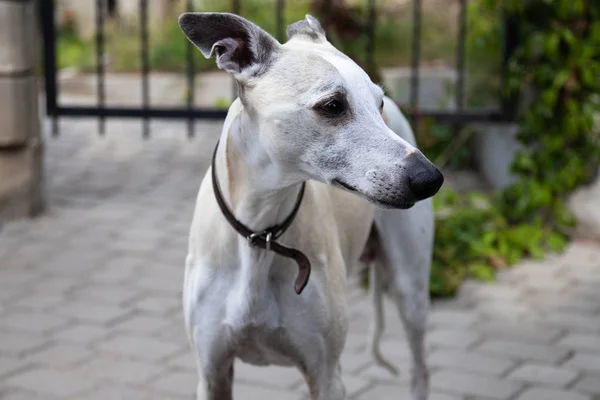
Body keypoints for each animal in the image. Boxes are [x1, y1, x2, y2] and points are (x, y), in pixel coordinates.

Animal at [178, 11, 440, 400]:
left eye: (377, 103)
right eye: (332, 105)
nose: (431, 179)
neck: (261, 232)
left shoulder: (326, 374)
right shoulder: (212, 372)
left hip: (411, 288)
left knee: (420, 366)